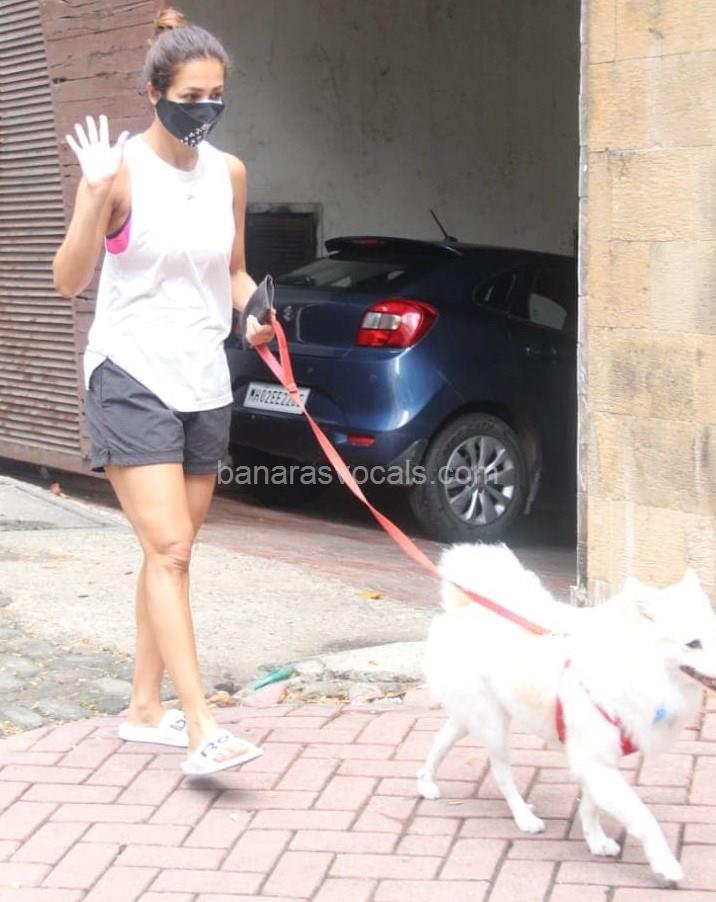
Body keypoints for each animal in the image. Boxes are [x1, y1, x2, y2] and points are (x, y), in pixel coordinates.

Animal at [417, 542, 716, 883]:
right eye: (693, 644)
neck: (635, 667)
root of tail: (463, 608)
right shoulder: (596, 761)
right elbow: (642, 817)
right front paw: (665, 864)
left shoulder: (597, 761)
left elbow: (590, 806)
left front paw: (596, 841)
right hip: (493, 724)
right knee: (500, 772)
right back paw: (523, 817)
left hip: (472, 715)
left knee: (440, 741)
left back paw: (426, 782)